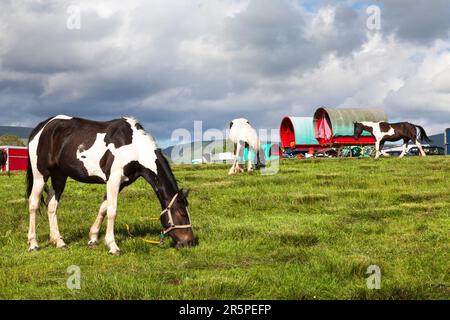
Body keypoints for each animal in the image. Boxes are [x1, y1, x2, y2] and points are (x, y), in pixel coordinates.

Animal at [26, 115, 195, 255]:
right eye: (182, 214)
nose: (189, 242)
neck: (134, 146)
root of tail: (42, 127)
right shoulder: (113, 179)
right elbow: (112, 211)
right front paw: (113, 246)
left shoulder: (121, 183)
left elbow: (104, 208)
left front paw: (93, 238)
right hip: (40, 175)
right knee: (33, 204)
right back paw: (33, 243)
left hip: (59, 176)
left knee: (51, 205)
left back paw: (58, 241)